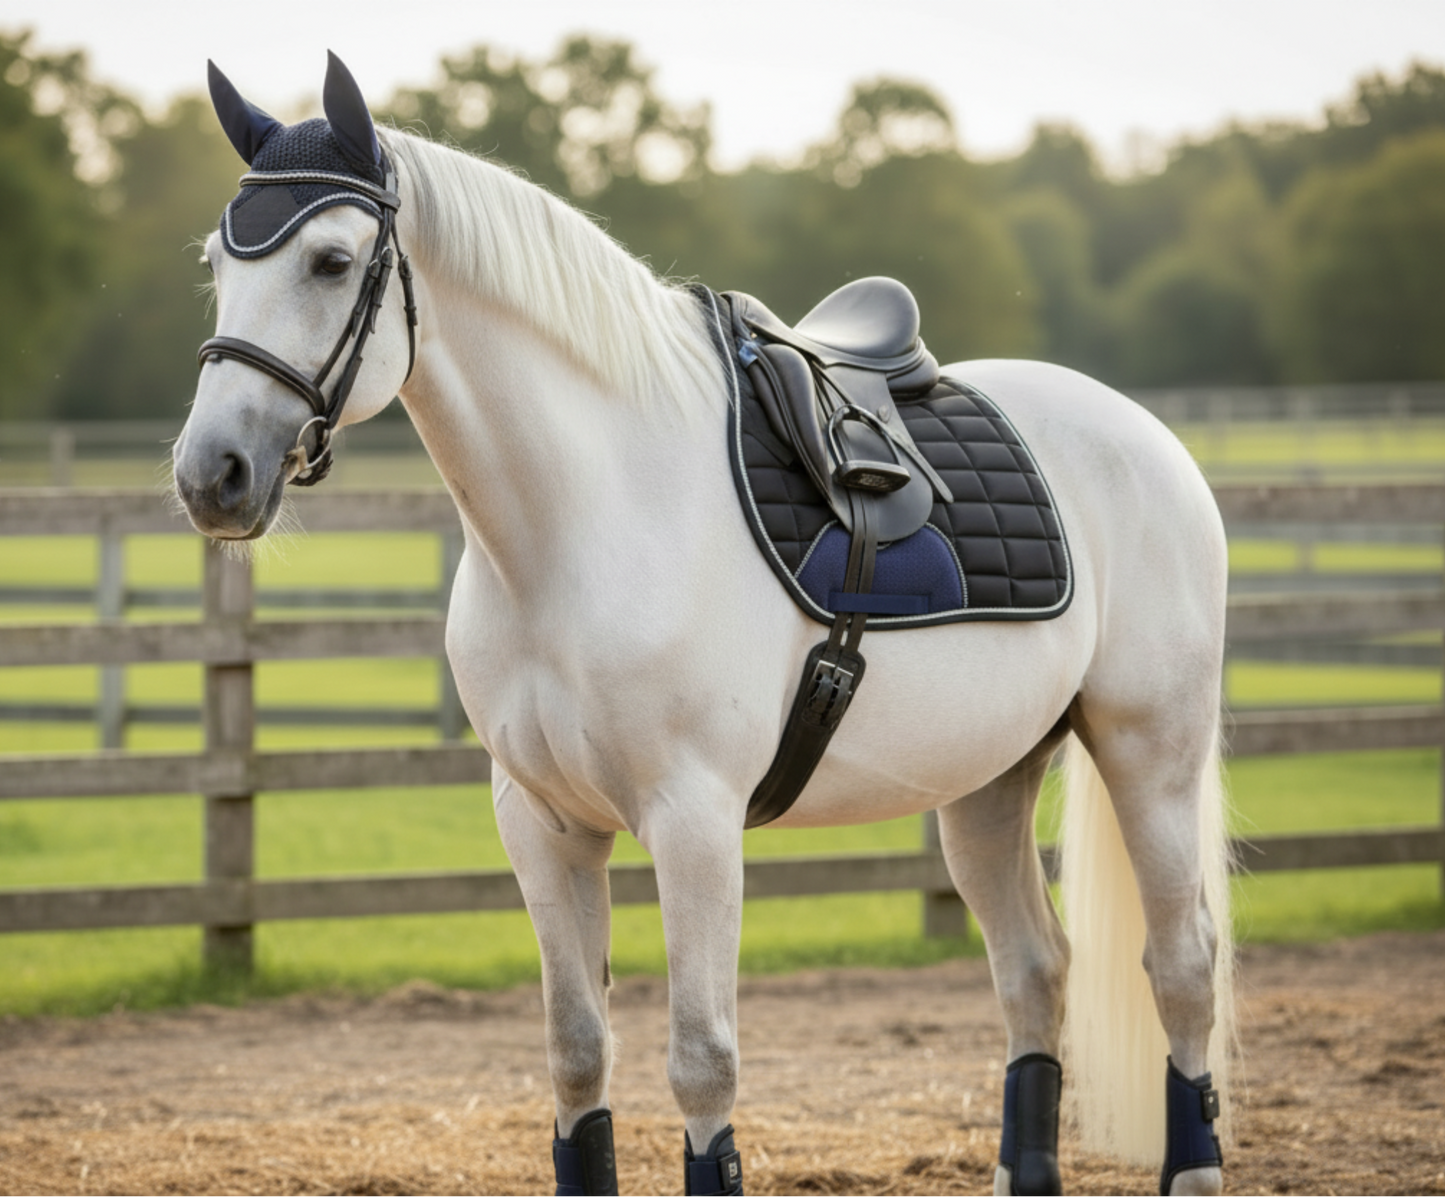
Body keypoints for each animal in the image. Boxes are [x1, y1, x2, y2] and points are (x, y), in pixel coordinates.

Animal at [173, 54, 1235, 1197]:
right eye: (217, 262)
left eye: (331, 260)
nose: (211, 475)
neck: (588, 520)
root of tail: (1142, 434)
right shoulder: (542, 823)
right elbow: (576, 1054)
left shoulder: (694, 823)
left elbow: (700, 1064)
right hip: (988, 782)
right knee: (1033, 971)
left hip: (1149, 752)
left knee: (1182, 964)